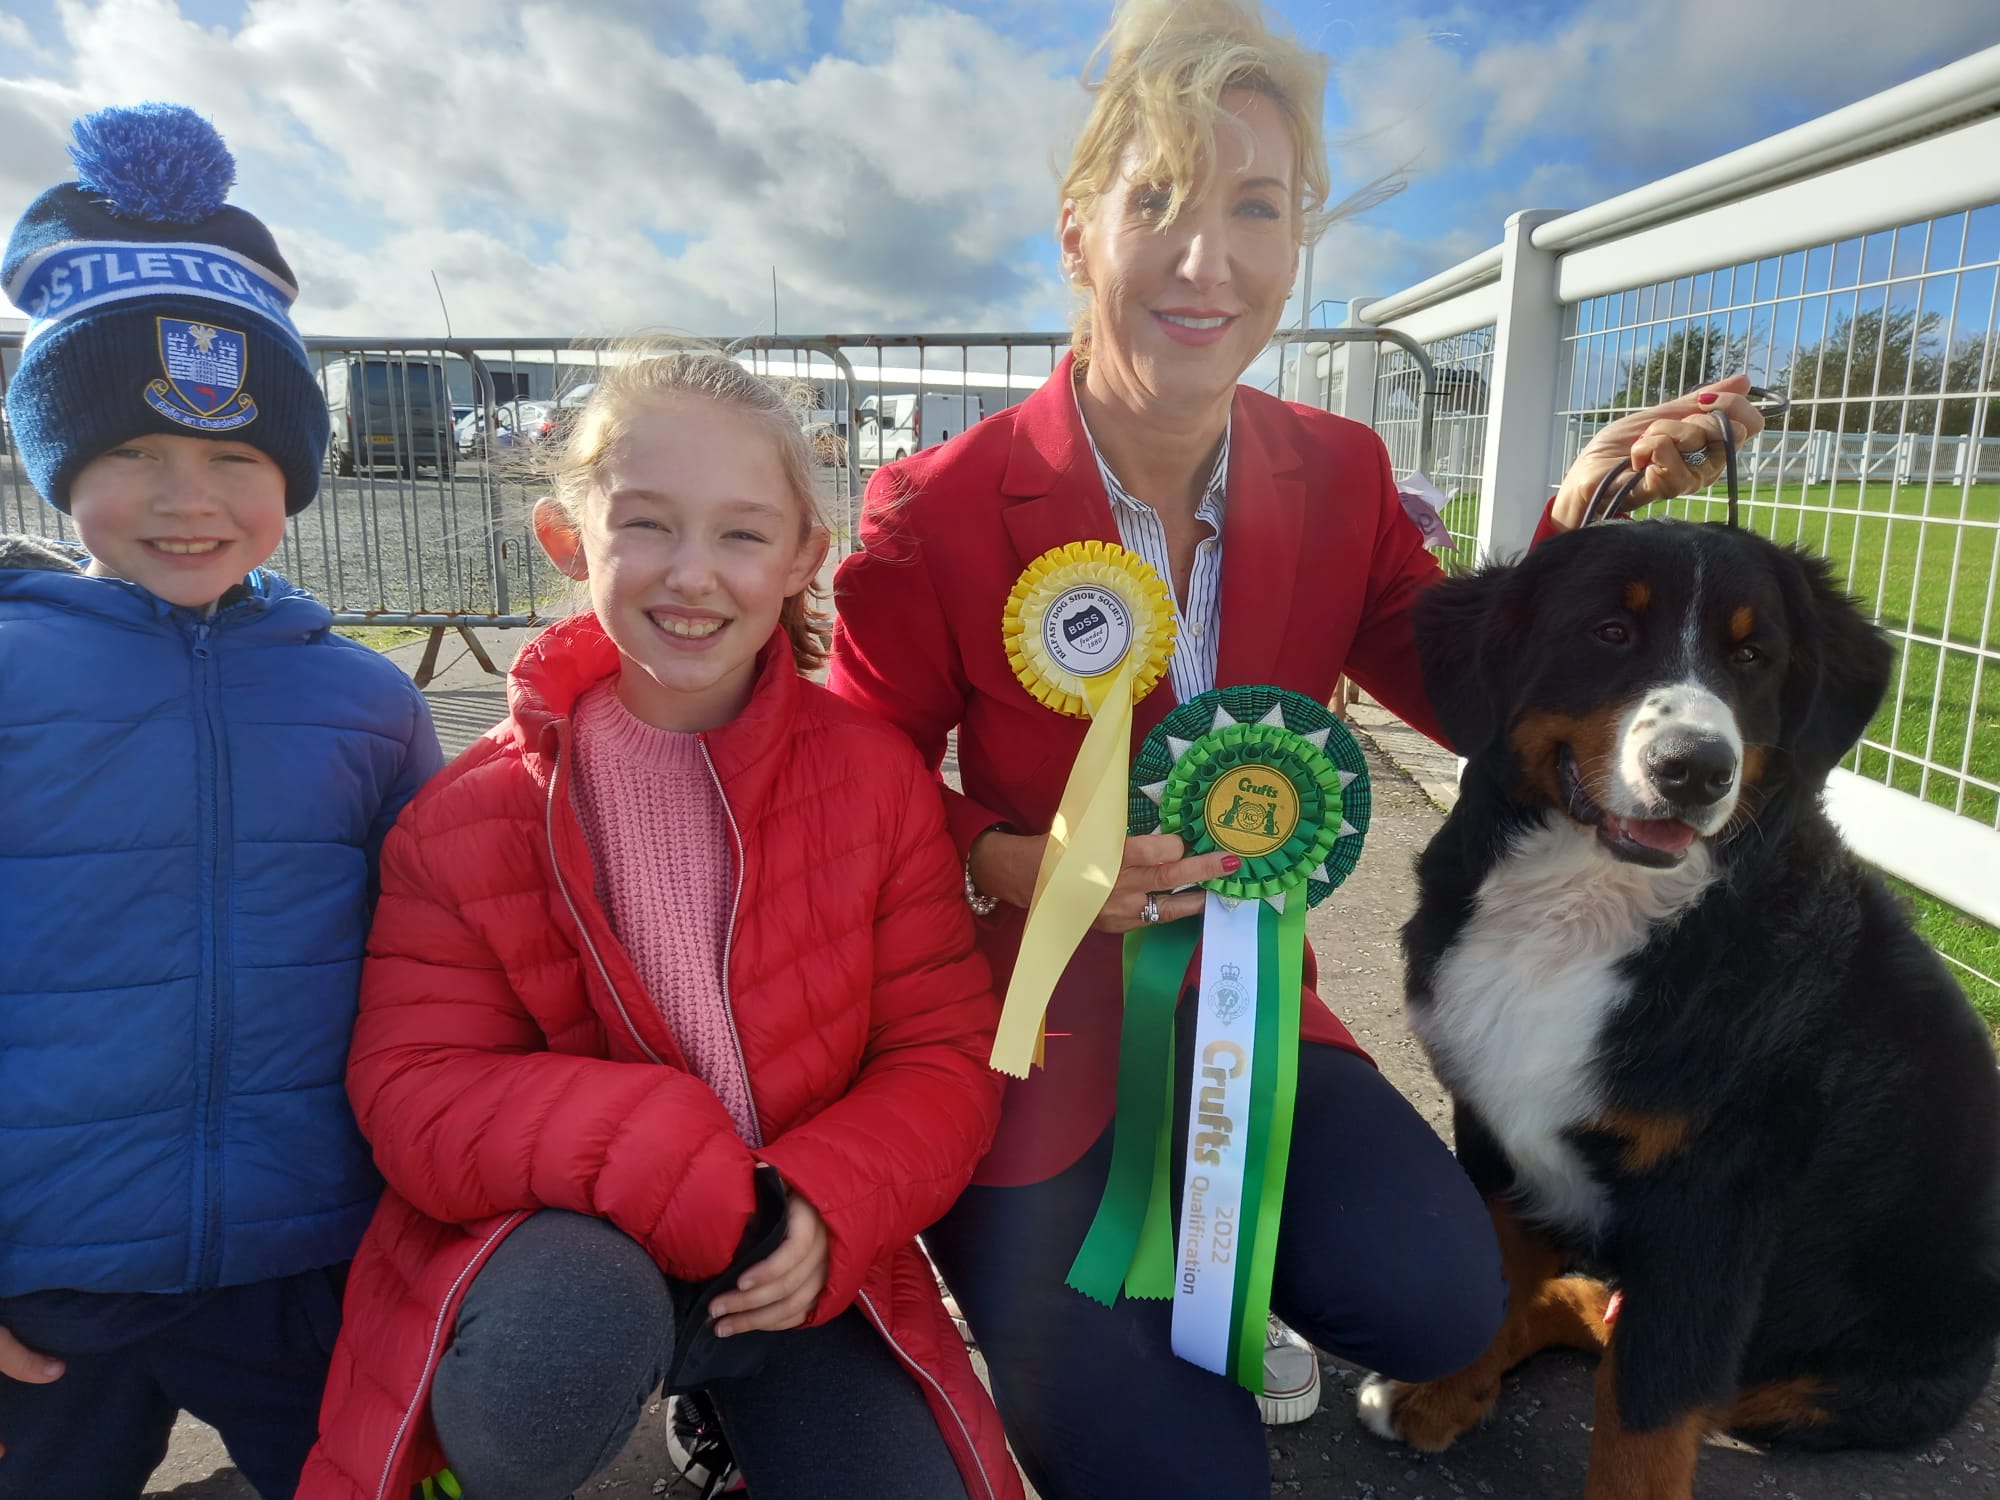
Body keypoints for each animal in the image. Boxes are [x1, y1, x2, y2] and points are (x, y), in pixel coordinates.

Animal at [1360, 520, 2000, 1500]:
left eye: (1752, 654)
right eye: (1611, 633)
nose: (1695, 770)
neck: (1587, 908)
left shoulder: (1714, 1196)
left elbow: (1648, 1408)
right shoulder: (1493, 1129)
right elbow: (1498, 1280)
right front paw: (1447, 1391)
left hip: (1853, 1374)